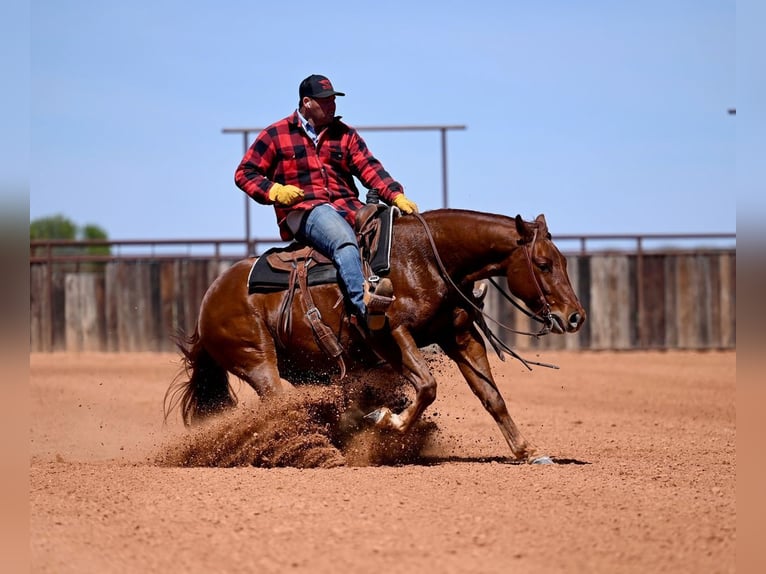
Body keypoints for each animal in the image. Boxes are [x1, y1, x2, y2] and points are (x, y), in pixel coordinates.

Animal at [165, 209, 586, 464]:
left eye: (564, 262)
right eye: (543, 264)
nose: (575, 317)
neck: (426, 259)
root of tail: (210, 297)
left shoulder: (462, 336)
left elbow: (491, 397)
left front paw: (528, 451)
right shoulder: (391, 333)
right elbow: (427, 385)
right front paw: (389, 419)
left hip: (304, 366)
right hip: (256, 359)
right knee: (277, 405)